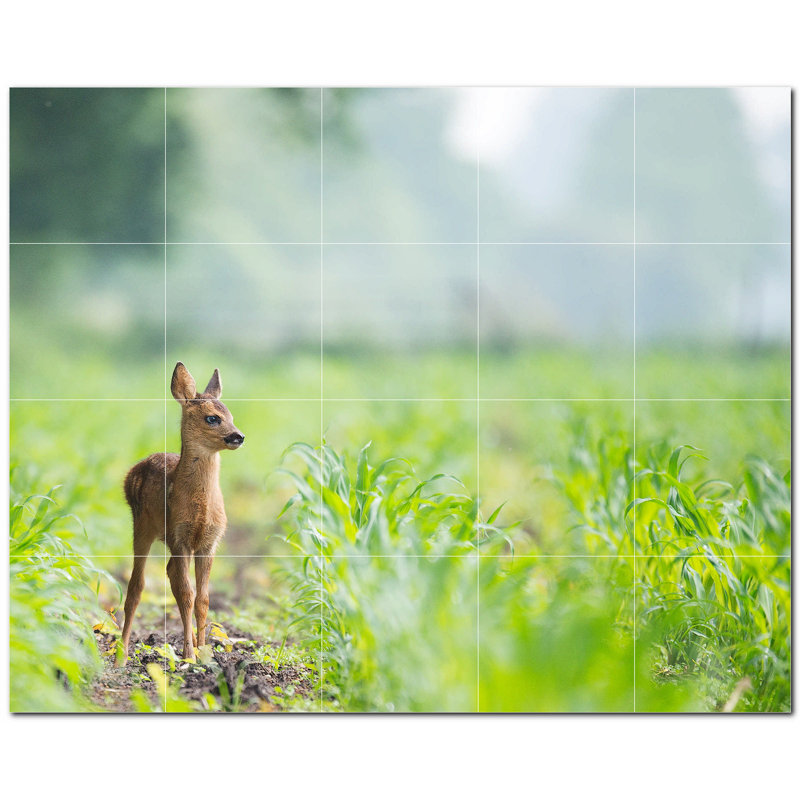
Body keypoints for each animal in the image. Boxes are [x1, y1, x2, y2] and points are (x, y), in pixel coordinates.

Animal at [117, 362, 245, 665]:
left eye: (230, 415)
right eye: (212, 418)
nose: (238, 436)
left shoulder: (209, 543)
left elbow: (203, 599)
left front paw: (204, 653)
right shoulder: (180, 538)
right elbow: (186, 594)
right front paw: (188, 655)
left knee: (168, 575)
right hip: (142, 526)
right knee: (136, 586)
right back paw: (122, 654)